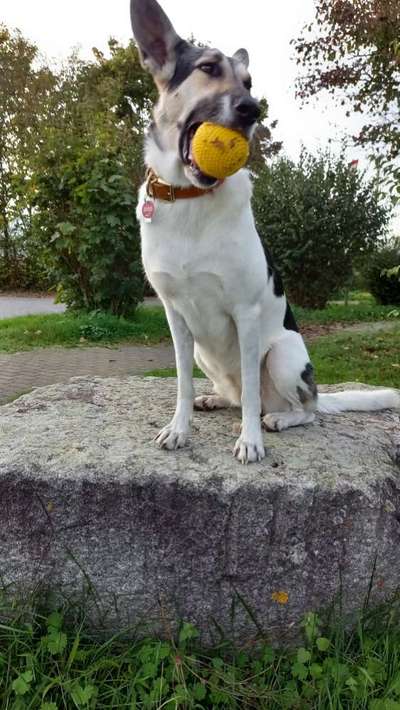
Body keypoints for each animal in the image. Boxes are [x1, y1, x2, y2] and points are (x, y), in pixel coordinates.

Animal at [130, 0, 398, 464]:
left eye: (249, 82)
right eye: (207, 68)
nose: (252, 110)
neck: (190, 198)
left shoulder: (246, 313)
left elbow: (252, 396)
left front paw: (250, 441)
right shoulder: (175, 316)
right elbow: (181, 384)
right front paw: (180, 429)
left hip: (284, 356)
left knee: (299, 409)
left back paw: (279, 419)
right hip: (204, 352)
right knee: (237, 396)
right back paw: (215, 398)